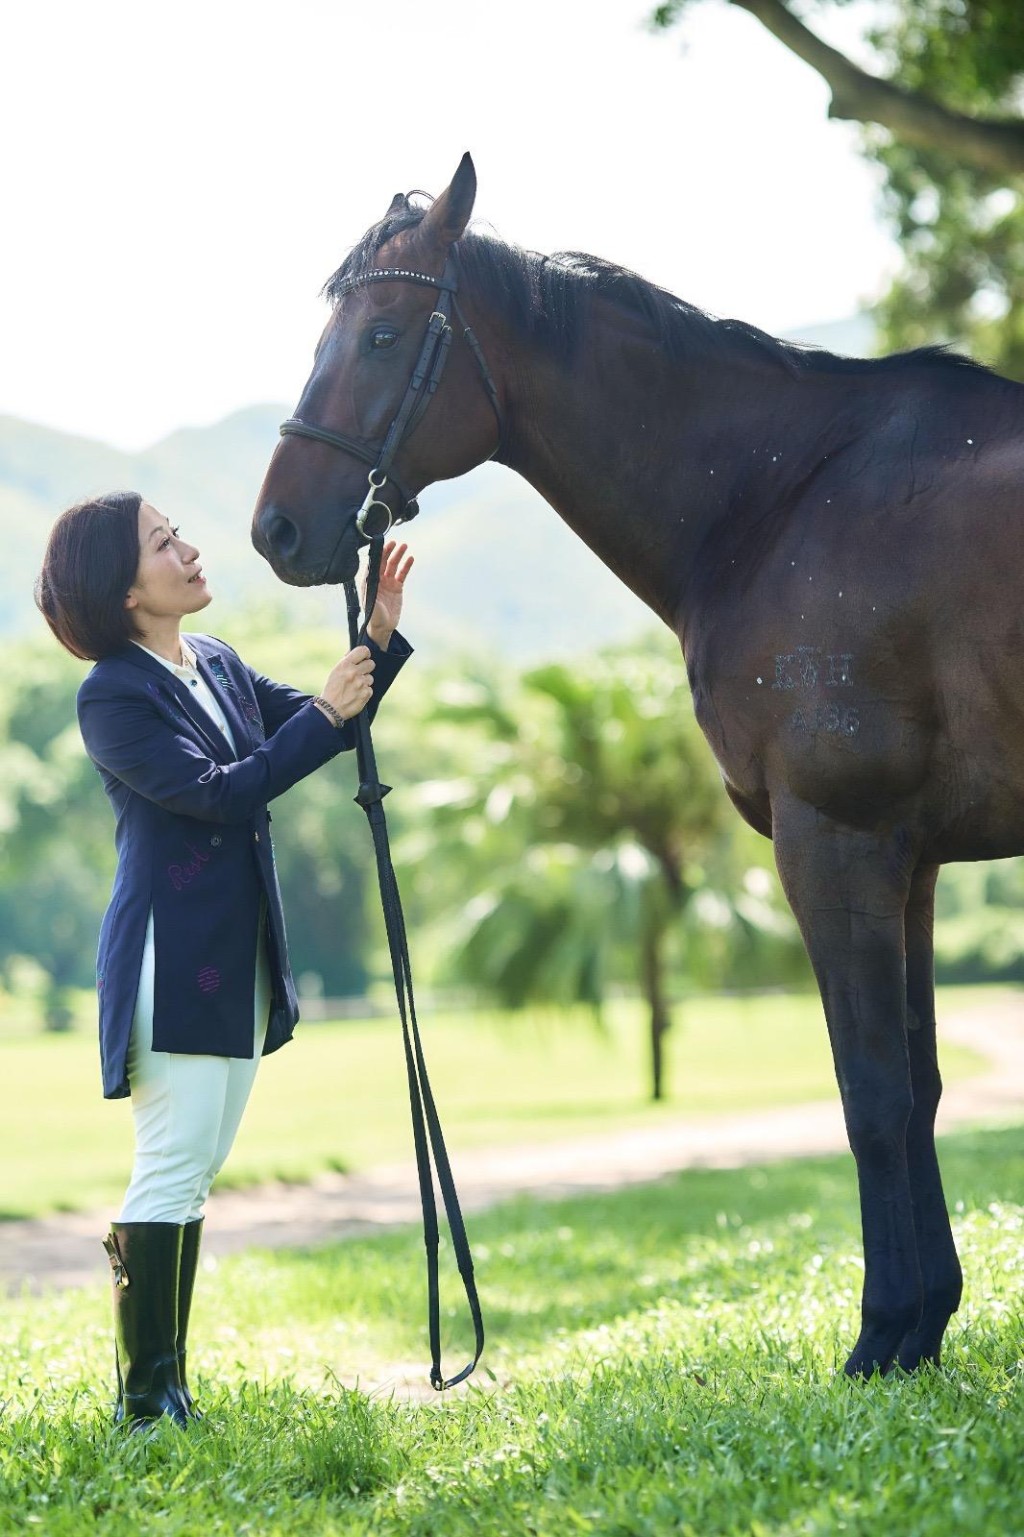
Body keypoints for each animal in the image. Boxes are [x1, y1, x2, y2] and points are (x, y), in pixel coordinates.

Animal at [250, 152, 1020, 1383]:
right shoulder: (911, 860)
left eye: (380, 333)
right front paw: (923, 1323)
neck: (780, 494)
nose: (275, 528)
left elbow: (870, 1094)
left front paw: (884, 1331)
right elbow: (921, 1085)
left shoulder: (835, 841)